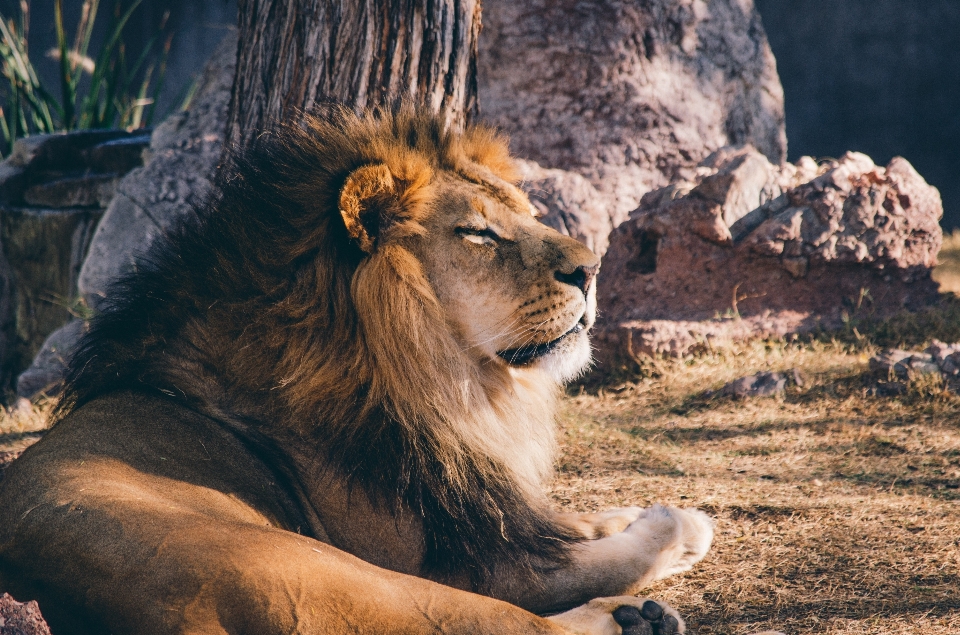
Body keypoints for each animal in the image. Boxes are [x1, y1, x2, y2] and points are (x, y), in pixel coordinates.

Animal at [0, 109, 712, 635]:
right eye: (479, 234)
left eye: (527, 214)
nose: (592, 269)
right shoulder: (460, 561)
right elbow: (594, 560)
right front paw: (675, 524)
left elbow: (566, 524)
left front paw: (633, 510)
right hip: (333, 572)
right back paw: (637, 619)